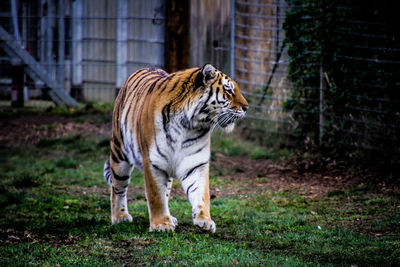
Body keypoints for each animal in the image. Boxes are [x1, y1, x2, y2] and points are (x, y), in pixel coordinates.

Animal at [103, 63, 247, 233]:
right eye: (229, 90)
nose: (246, 107)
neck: (189, 124)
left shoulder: (195, 163)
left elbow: (201, 194)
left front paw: (204, 220)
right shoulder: (153, 162)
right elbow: (156, 196)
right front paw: (161, 225)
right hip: (119, 153)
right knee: (118, 187)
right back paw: (120, 217)